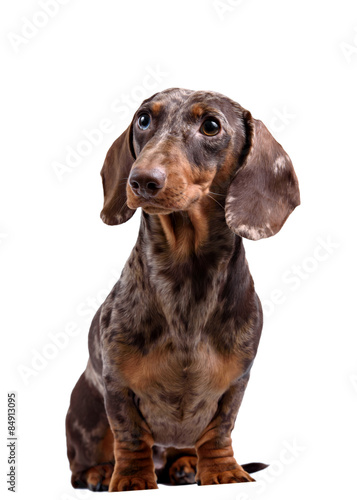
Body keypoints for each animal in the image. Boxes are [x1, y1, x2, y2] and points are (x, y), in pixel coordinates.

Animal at [65, 88, 298, 490]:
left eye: (211, 126)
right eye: (144, 119)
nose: (141, 180)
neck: (187, 275)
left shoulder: (235, 382)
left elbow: (219, 431)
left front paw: (223, 472)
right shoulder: (115, 383)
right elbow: (130, 435)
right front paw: (132, 479)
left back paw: (185, 463)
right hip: (86, 408)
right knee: (84, 460)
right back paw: (100, 471)